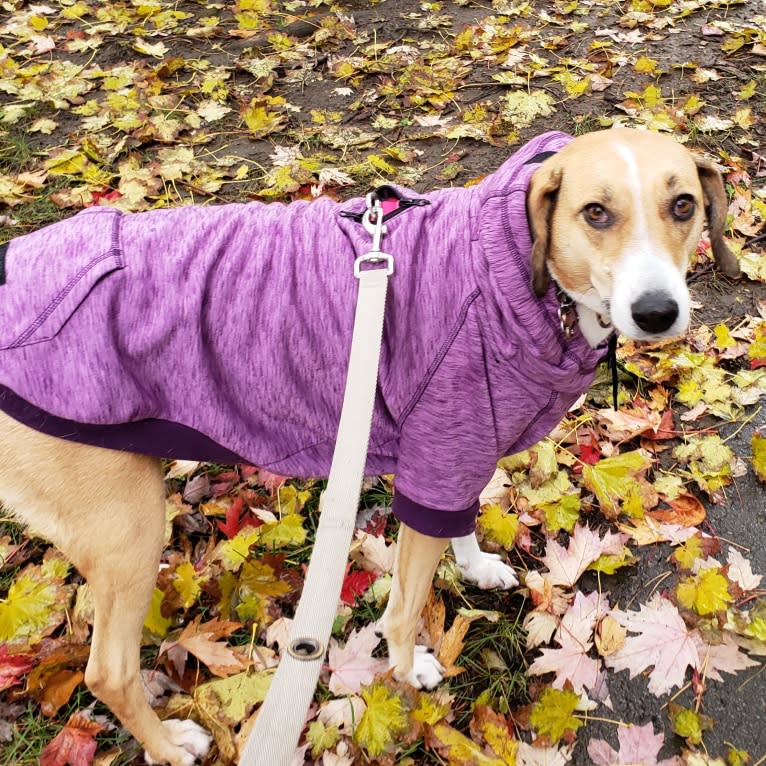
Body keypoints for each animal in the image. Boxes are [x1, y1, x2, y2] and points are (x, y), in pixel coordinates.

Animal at [0, 129, 744, 764]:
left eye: (682, 205)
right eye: (595, 213)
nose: (658, 312)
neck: (509, 269)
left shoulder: (455, 456)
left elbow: (461, 522)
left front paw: (475, 568)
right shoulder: (442, 450)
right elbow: (406, 607)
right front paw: (408, 669)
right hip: (126, 530)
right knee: (108, 672)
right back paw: (167, 744)